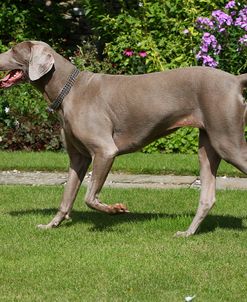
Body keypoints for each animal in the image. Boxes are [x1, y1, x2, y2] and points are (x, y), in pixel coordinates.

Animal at [0, 41, 247, 237]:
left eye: (14, 50)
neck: (69, 89)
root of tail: (234, 80)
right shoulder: (78, 158)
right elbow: (67, 195)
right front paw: (51, 225)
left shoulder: (104, 150)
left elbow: (90, 197)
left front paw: (116, 209)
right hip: (209, 144)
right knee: (207, 196)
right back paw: (188, 232)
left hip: (228, 141)